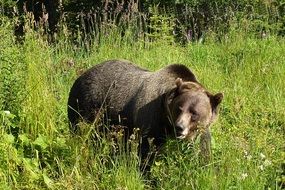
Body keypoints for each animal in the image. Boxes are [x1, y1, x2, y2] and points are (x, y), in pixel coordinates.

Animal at [67, 59, 223, 169]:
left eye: (194, 113)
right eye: (179, 108)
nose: (179, 127)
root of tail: (81, 75)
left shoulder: (201, 130)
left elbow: (203, 148)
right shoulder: (151, 119)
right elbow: (146, 151)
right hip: (86, 106)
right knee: (84, 135)